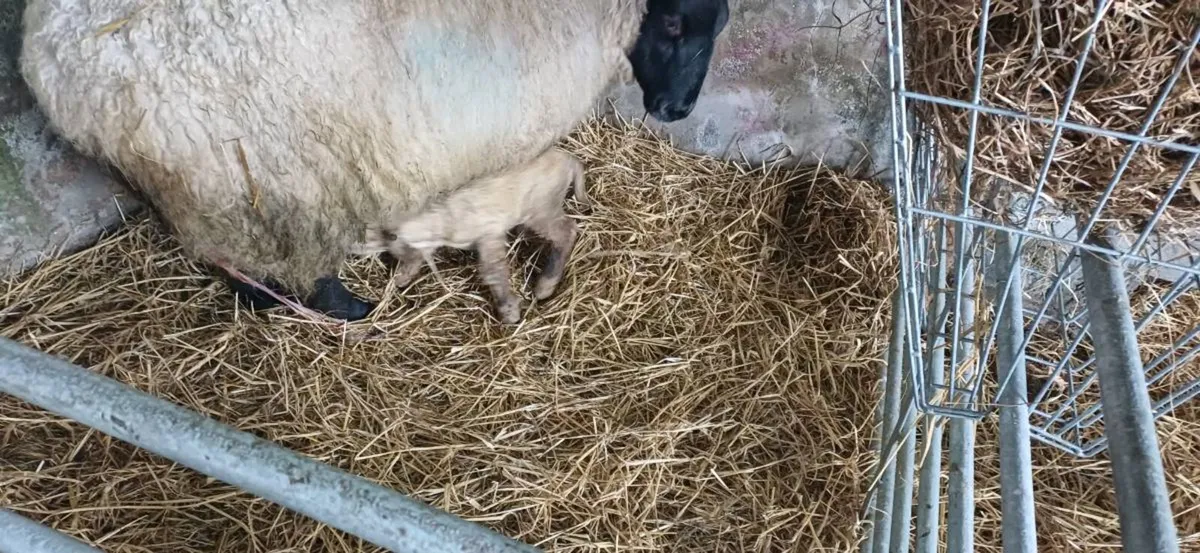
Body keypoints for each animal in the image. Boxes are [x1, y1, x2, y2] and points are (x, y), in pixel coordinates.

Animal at [376, 147, 590, 324]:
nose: (399, 279)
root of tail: (568, 159)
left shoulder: (489, 234)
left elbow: (492, 271)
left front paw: (509, 312)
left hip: (541, 206)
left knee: (566, 231)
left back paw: (545, 285)